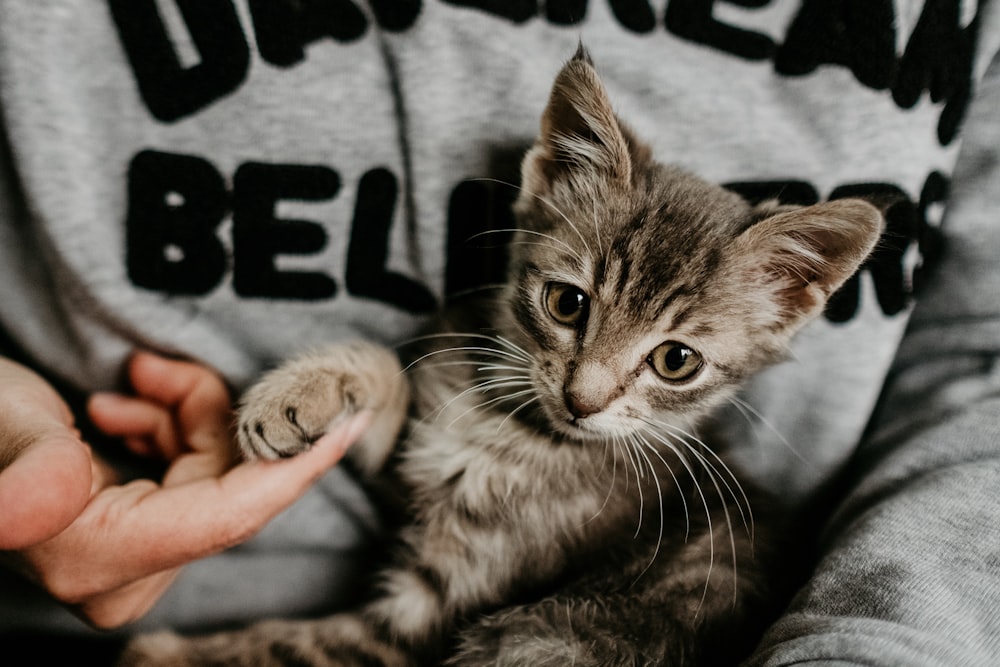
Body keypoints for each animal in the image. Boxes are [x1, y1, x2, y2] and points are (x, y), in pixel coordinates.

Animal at [121, 48, 880, 667]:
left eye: (675, 362)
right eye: (567, 303)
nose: (583, 399)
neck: (515, 431)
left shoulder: (429, 616)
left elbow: (295, 644)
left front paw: (157, 652)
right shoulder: (417, 465)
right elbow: (387, 381)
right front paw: (301, 393)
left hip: (528, 637)